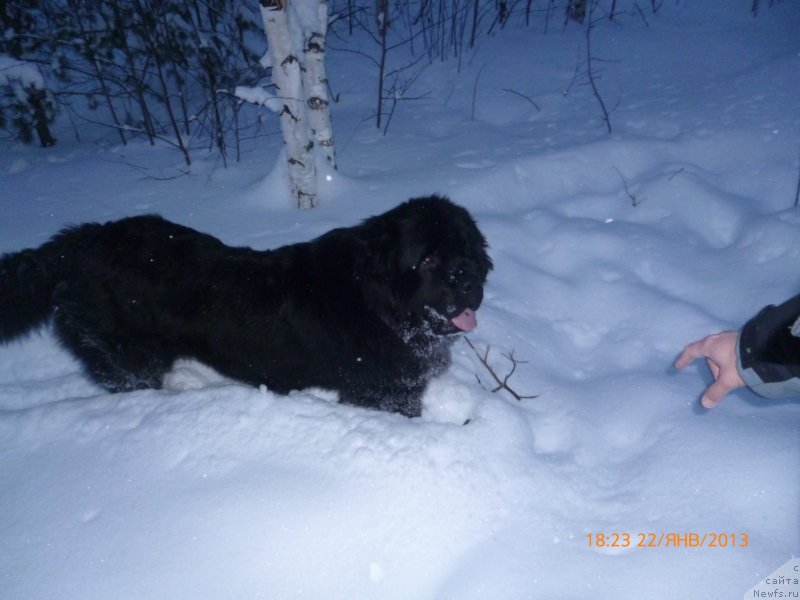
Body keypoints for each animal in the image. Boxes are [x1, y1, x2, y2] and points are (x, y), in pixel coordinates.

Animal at [0, 197, 490, 418]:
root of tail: (80, 242)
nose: (469, 279)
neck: (381, 305)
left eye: (466, 248)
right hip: (128, 358)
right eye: (427, 260)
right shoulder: (382, 393)